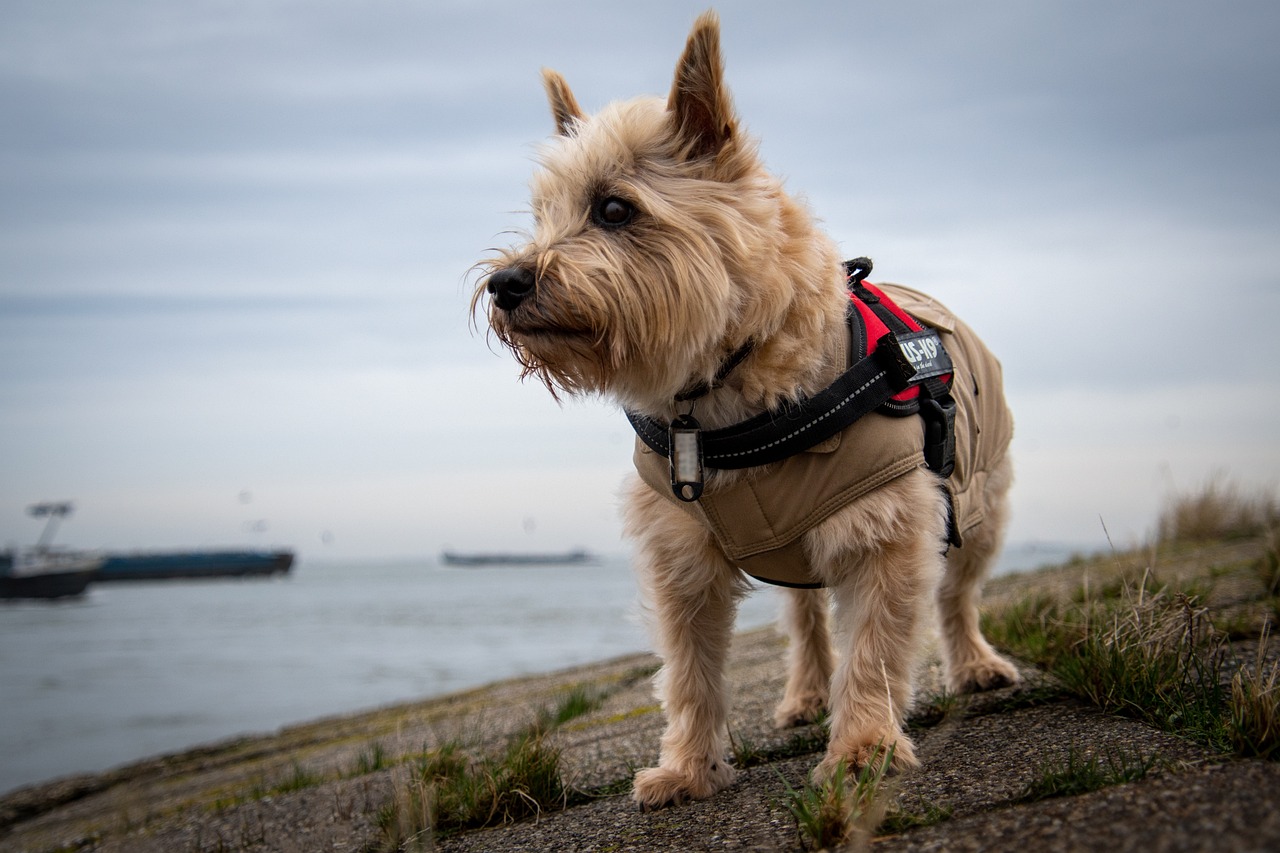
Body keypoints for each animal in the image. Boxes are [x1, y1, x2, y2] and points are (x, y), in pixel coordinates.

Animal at [473, 9, 1018, 809]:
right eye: (542, 215)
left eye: (614, 208)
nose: (506, 283)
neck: (719, 399)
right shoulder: (680, 554)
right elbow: (690, 670)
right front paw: (688, 769)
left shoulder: (884, 527)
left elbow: (877, 647)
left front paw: (864, 749)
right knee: (805, 614)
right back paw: (805, 695)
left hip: (978, 502)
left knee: (959, 593)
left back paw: (975, 665)